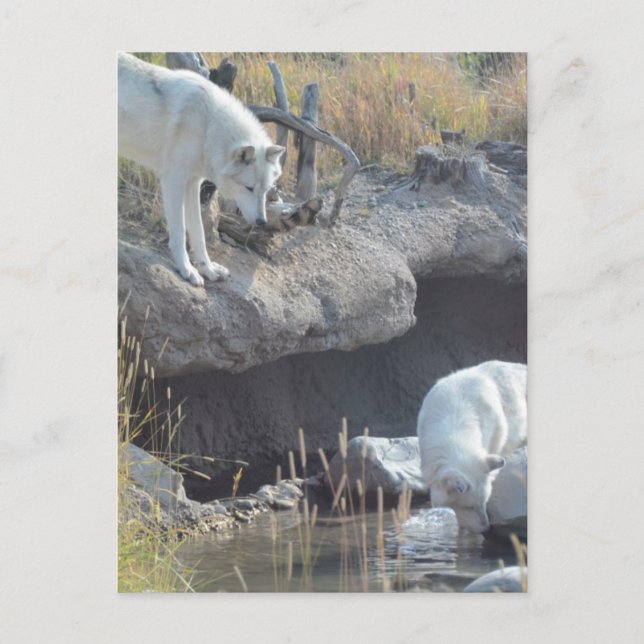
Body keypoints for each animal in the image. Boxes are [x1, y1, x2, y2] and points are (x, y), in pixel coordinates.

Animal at [118, 52, 285, 286]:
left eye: (266, 190)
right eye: (249, 188)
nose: (262, 222)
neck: (208, 126)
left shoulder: (192, 183)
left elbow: (198, 233)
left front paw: (208, 268)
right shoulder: (173, 180)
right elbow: (180, 232)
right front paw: (186, 269)